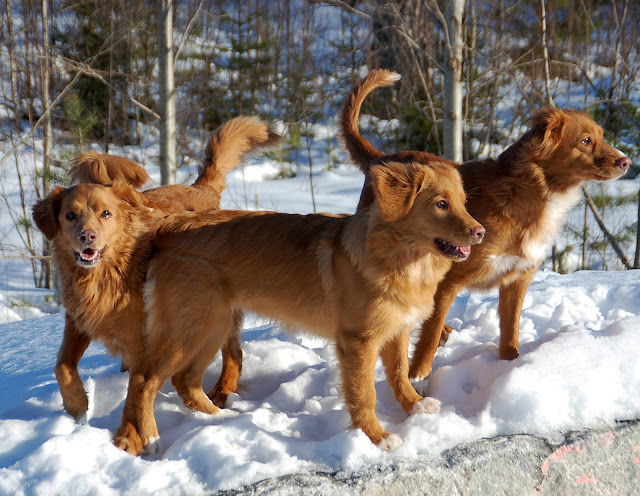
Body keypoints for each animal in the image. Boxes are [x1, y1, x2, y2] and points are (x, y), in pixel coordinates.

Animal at [31, 117, 281, 424]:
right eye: (69, 215)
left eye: (106, 214)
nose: (87, 236)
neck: (107, 273)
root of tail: (199, 189)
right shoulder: (78, 319)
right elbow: (62, 366)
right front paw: (77, 405)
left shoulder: (143, 339)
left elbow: (139, 383)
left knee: (234, 353)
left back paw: (221, 393)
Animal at [110, 153, 485, 454]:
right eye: (440, 204)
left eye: (464, 202)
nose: (481, 232)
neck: (403, 258)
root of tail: (167, 228)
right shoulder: (358, 342)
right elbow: (365, 395)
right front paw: (377, 438)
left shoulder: (397, 329)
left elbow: (399, 376)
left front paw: (415, 406)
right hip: (188, 329)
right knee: (145, 379)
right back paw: (153, 437)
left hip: (214, 325)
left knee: (185, 381)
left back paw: (219, 419)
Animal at [341, 70, 632, 383]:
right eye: (586, 140)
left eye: (601, 137)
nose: (626, 161)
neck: (532, 191)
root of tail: (381, 158)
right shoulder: (449, 279)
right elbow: (428, 334)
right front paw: (418, 376)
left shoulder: (518, 278)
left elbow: (510, 329)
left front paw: (511, 365)